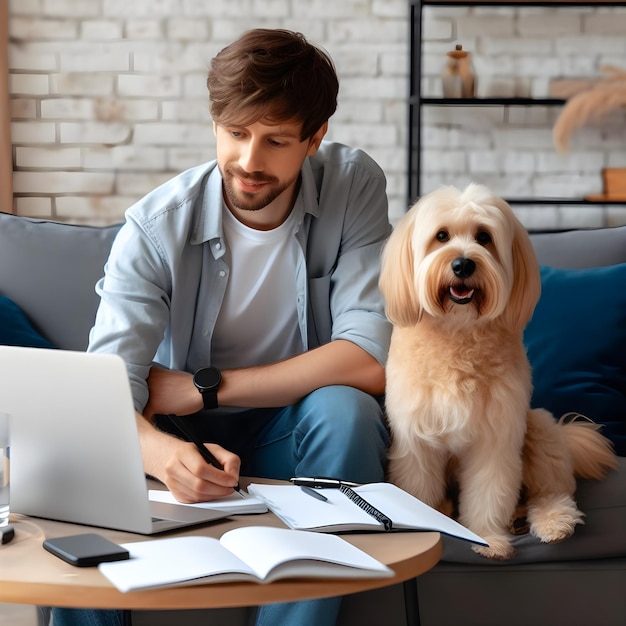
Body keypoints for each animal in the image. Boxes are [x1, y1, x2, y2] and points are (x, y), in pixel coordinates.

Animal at [378, 182, 616, 556]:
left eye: (484, 237)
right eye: (441, 236)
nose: (462, 264)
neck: (458, 333)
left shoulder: (495, 438)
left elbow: (489, 493)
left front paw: (487, 538)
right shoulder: (416, 440)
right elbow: (418, 488)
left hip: (539, 428)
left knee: (552, 490)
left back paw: (551, 521)